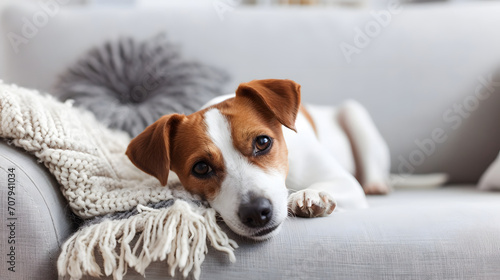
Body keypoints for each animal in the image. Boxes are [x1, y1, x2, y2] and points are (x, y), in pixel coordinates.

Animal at [125, 79, 390, 241]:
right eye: (201, 168)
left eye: (262, 142)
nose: (255, 211)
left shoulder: (344, 182)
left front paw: (310, 195)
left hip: (354, 114)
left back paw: (376, 185)